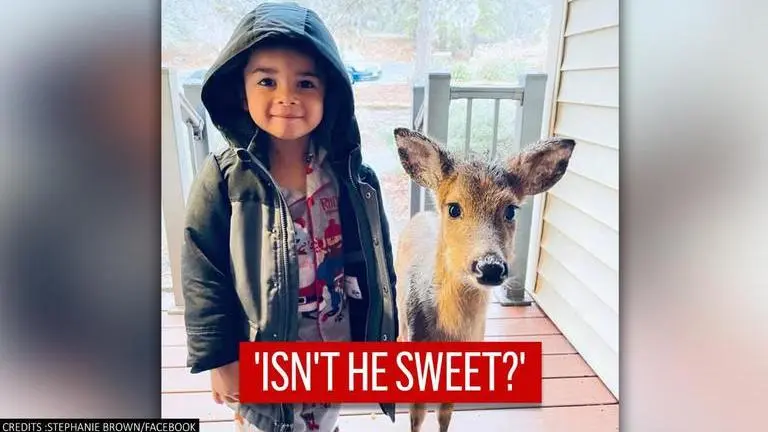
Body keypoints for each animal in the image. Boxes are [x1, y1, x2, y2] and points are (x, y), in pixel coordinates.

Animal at [392, 127, 575, 432]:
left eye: (511, 210)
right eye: (454, 208)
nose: (490, 267)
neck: (450, 335)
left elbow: (445, 416)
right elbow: (417, 419)